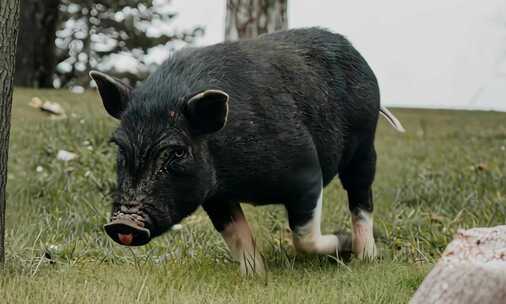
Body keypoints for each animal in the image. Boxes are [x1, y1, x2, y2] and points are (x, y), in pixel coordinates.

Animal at [90, 27, 404, 274]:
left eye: (177, 153)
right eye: (119, 146)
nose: (124, 222)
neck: (239, 181)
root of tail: (357, 54)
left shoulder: (306, 173)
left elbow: (304, 237)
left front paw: (343, 243)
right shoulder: (215, 195)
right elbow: (236, 233)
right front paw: (255, 276)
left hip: (365, 144)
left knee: (361, 198)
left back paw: (365, 256)